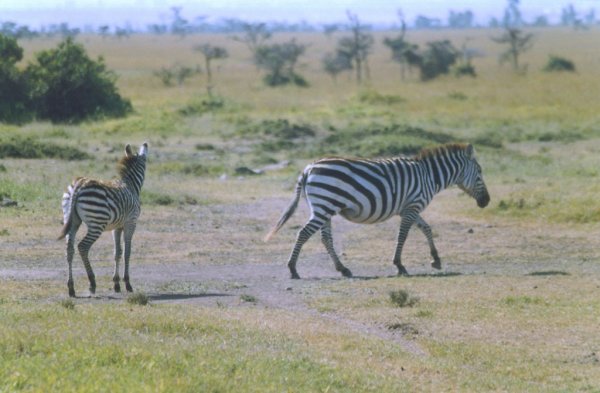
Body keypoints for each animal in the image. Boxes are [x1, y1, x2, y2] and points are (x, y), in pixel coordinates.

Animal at [57, 142, 149, 296]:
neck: (130, 185)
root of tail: (78, 186)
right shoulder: (131, 223)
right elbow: (127, 252)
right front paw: (127, 283)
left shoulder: (116, 227)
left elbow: (117, 252)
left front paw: (116, 284)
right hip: (96, 223)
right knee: (83, 247)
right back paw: (92, 283)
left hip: (72, 220)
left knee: (69, 249)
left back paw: (71, 287)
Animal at [264, 142, 490, 278]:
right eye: (480, 172)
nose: (487, 201)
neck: (429, 176)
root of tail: (308, 168)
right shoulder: (412, 206)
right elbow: (403, 235)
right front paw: (399, 265)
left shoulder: (409, 207)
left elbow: (426, 228)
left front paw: (436, 259)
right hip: (324, 205)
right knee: (303, 233)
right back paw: (293, 269)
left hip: (324, 207)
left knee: (325, 238)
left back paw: (343, 269)